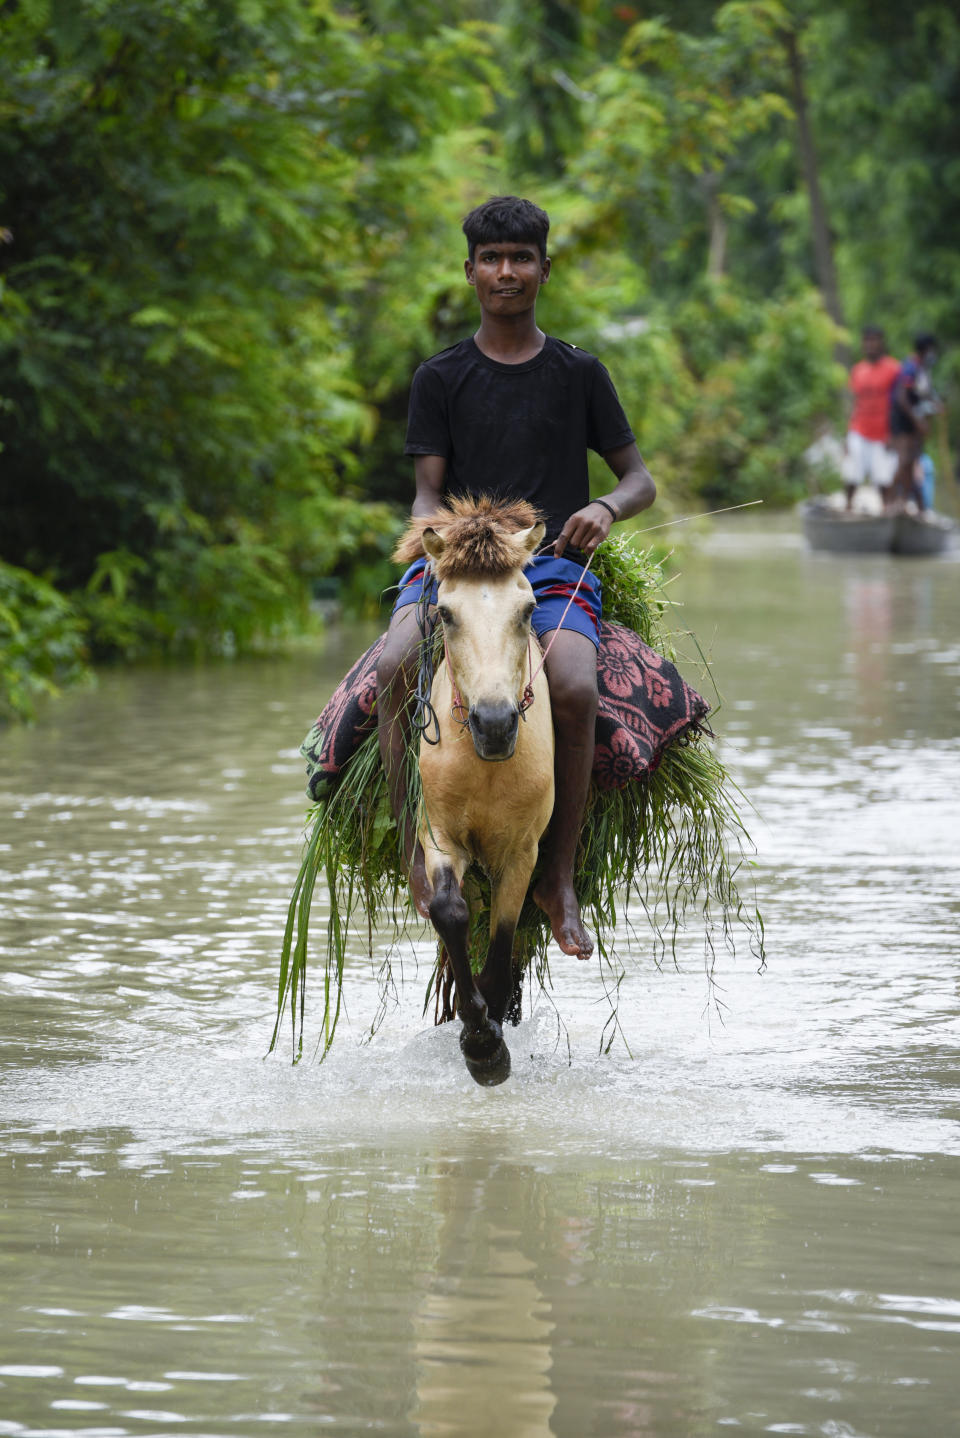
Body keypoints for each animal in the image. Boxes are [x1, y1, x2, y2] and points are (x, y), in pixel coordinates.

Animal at [399, 500, 554, 1081]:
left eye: (528, 610)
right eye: (445, 613)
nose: (494, 723)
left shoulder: (522, 851)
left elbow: (505, 935)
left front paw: (490, 1040)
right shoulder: (441, 836)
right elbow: (451, 912)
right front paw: (478, 1036)